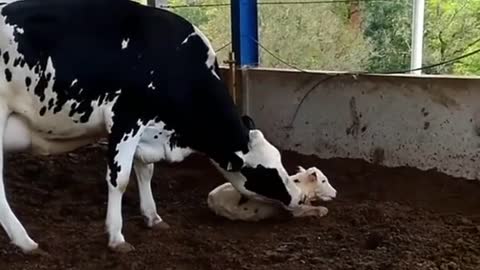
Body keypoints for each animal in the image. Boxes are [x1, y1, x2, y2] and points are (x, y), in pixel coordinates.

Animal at [0, 0, 308, 253]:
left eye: (280, 159)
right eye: (264, 172)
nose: (300, 197)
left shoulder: (148, 129)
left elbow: (145, 171)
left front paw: (152, 217)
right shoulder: (125, 119)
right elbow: (120, 179)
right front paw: (117, 237)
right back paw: (25, 241)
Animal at [207, 167, 338, 221]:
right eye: (323, 180)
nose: (336, 192)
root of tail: (210, 196)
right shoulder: (295, 209)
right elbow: (312, 209)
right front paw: (322, 211)